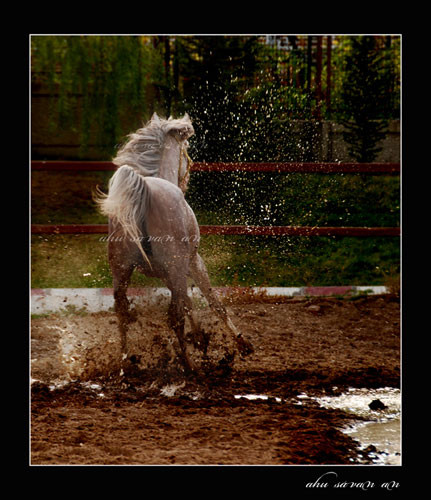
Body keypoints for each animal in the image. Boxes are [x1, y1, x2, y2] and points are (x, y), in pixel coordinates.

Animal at [95, 112, 253, 373]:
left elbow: (189, 302)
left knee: (122, 312)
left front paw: (200, 338)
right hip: (177, 267)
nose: (186, 177)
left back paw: (125, 362)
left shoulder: (167, 275)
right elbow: (212, 301)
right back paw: (188, 365)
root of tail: (145, 190)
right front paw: (241, 344)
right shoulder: (191, 263)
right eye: (186, 148)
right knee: (175, 317)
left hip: (121, 271)